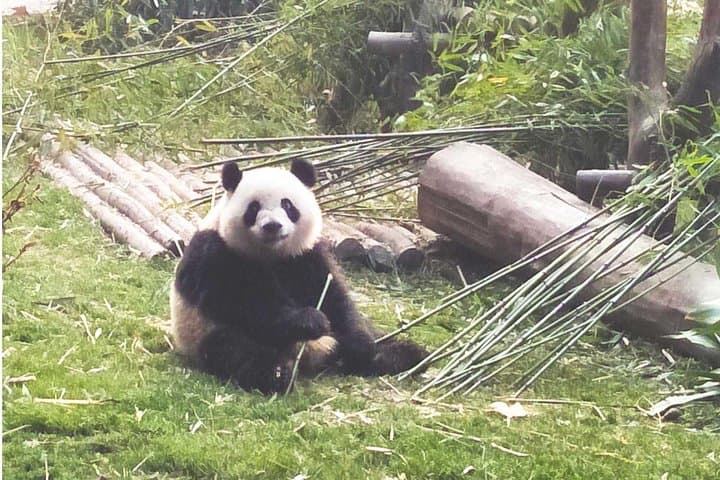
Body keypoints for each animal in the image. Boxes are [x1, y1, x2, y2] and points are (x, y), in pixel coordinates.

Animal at [170, 159, 428, 394]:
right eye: (253, 208)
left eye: (287, 205)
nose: (272, 226)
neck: (272, 254)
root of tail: (315, 356)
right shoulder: (215, 254)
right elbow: (246, 304)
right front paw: (310, 321)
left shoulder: (305, 255)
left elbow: (334, 297)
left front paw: (360, 344)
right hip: (202, 332)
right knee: (235, 350)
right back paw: (276, 374)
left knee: (377, 339)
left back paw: (402, 354)